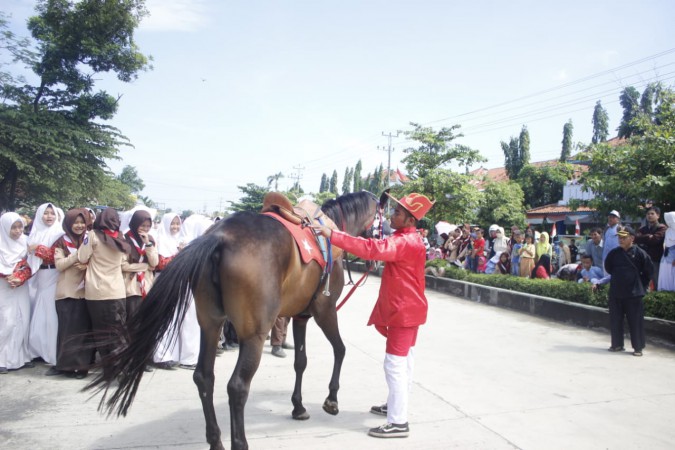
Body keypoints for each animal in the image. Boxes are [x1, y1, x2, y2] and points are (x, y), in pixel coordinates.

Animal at [85, 190, 380, 450]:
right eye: (381, 215)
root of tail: (219, 237)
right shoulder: (324, 309)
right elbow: (340, 350)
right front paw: (331, 400)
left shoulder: (301, 316)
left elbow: (300, 361)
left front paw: (298, 406)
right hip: (254, 335)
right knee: (237, 386)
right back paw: (239, 442)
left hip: (210, 324)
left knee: (204, 377)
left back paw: (215, 440)